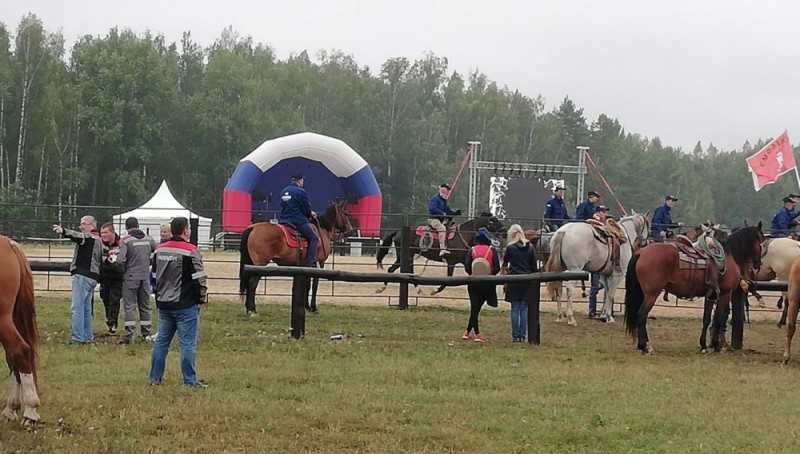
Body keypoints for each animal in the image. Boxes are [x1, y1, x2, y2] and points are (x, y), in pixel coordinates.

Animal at [624, 223, 764, 354]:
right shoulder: (725, 294)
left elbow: (707, 319)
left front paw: (703, 345)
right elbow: (718, 318)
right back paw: (645, 347)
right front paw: (716, 345)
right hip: (651, 294)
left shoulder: (710, 296)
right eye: (761, 241)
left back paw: (643, 345)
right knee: (641, 315)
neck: (728, 257)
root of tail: (641, 252)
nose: (758, 265)